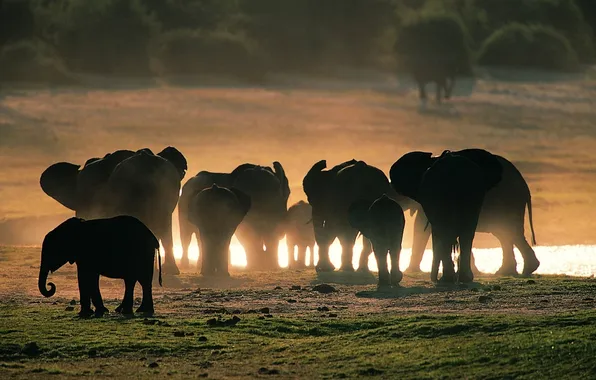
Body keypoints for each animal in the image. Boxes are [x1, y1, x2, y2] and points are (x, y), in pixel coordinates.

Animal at [406, 150, 540, 278]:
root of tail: (525, 188)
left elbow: (421, 227)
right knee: (506, 234)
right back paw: (510, 271)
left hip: (509, 203)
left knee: (509, 232)